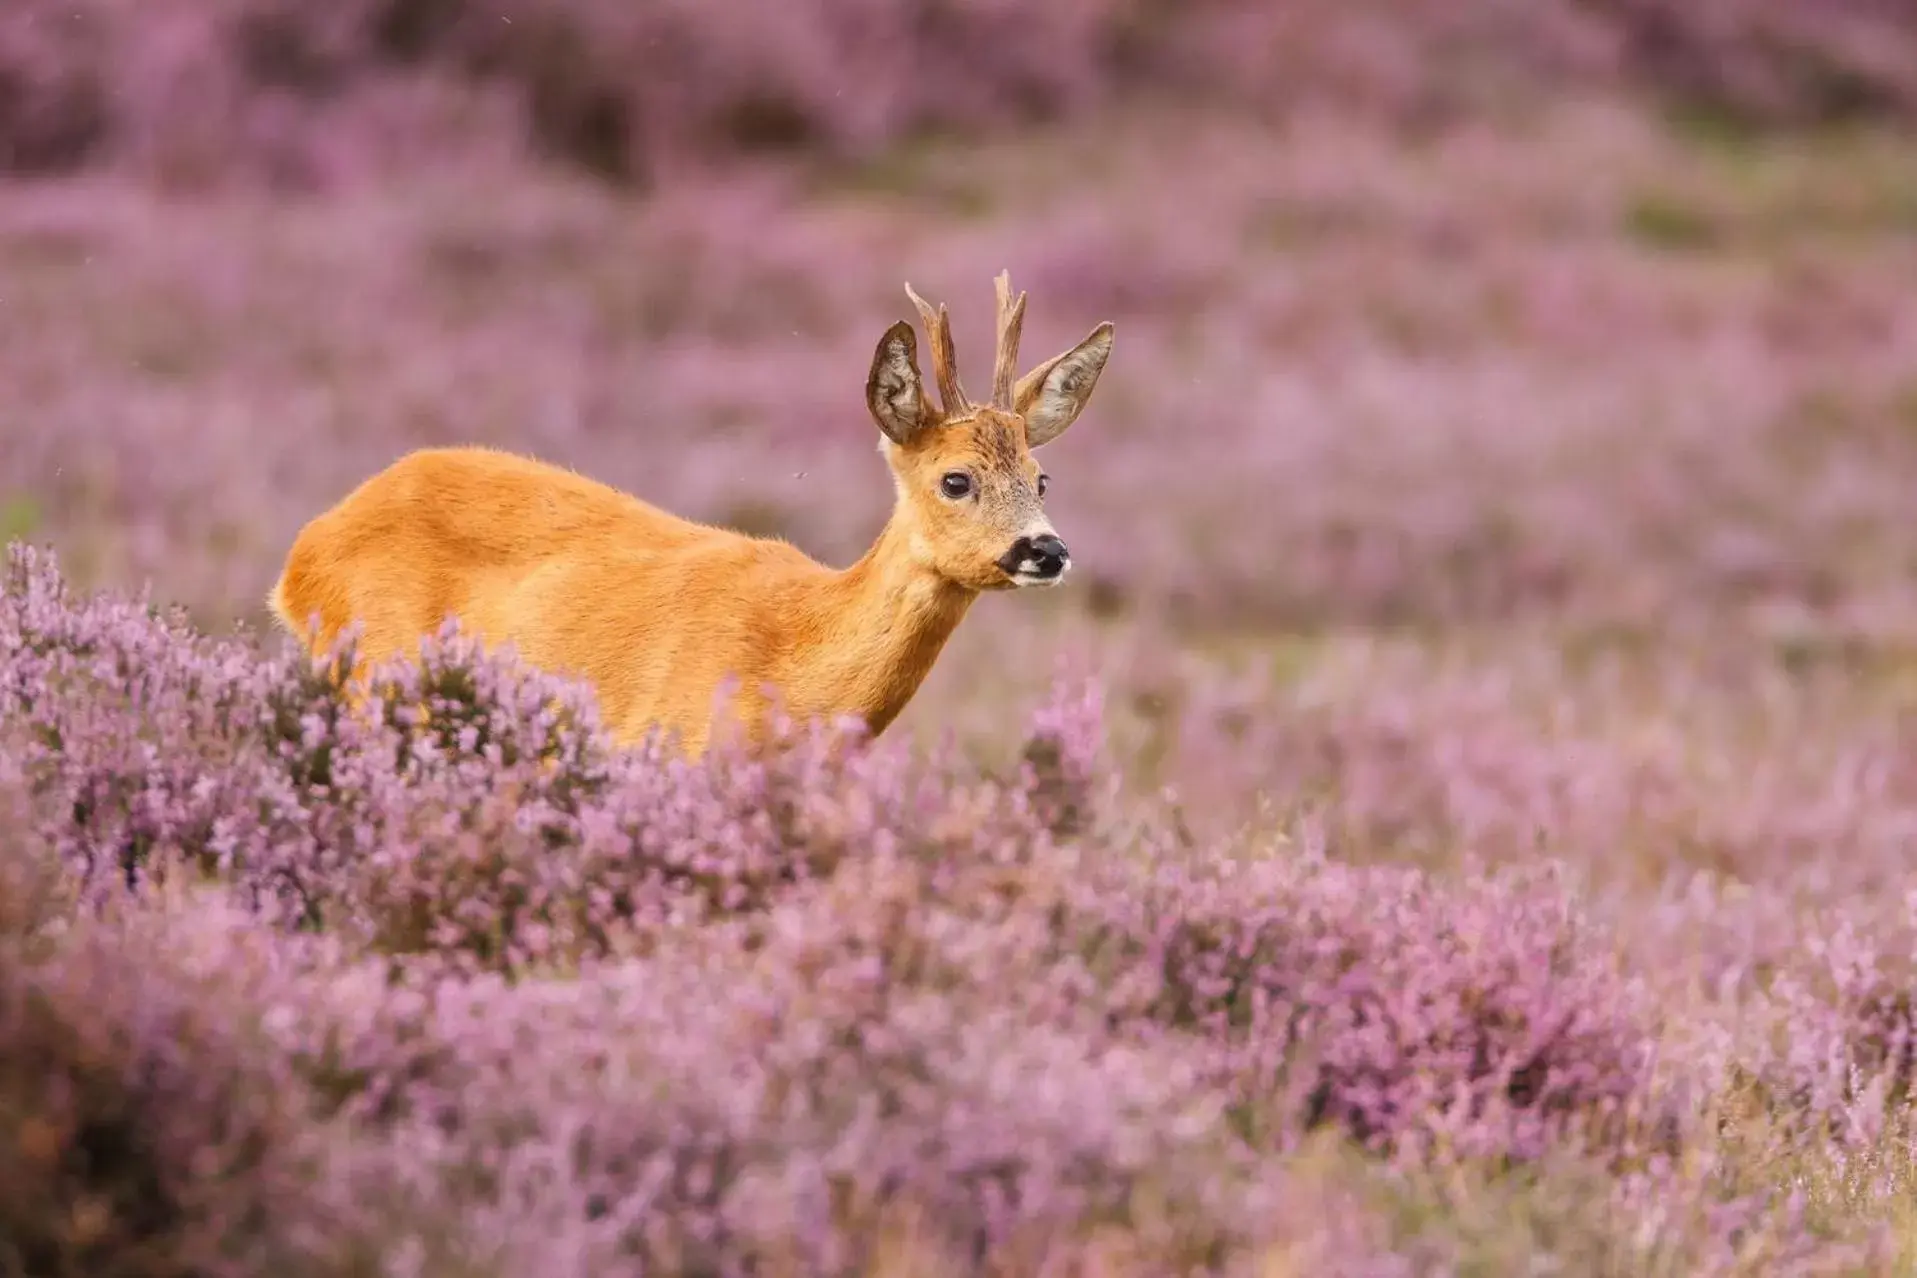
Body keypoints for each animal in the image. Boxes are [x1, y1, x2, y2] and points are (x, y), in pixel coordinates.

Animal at [264, 264, 1119, 754]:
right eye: (955, 479)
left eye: (1041, 478)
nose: (1045, 550)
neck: (792, 678)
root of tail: (302, 553)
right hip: (374, 673)